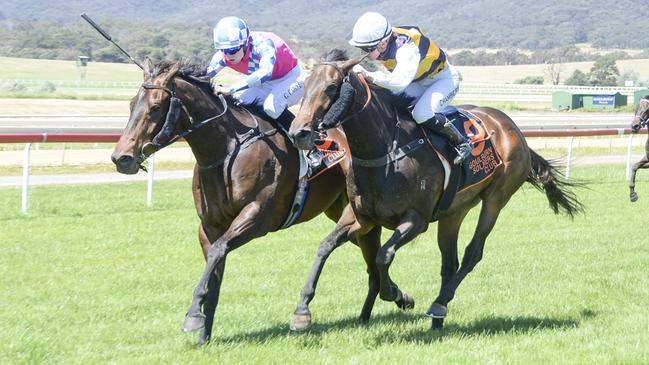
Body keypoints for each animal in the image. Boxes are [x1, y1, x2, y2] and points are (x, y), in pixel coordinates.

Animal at [110, 58, 370, 342]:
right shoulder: (210, 226)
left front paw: (193, 315)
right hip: (342, 210)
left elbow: (217, 251)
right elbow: (214, 267)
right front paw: (204, 335)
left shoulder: (257, 218)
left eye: (156, 107)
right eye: (131, 104)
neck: (226, 151)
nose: (121, 158)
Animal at [288, 49, 584, 328]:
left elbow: (383, 256)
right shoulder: (361, 216)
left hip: (496, 198)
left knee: (472, 253)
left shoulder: (416, 220)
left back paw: (439, 305)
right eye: (305, 85)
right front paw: (302, 311)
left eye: (331, 87)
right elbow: (325, 246)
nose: (298, 132)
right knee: (449, 262)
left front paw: (396, 294)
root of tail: (512, 127)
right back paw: (437, 320)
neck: (386, 152)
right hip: (454, 210)